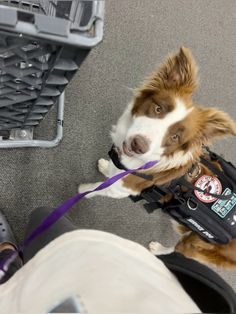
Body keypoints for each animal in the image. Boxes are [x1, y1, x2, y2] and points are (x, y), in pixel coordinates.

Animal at [79, 47, 236, 268]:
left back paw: (157, 249)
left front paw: (83, 190)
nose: (138, 145)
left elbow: (95, 189)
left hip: (197, 245)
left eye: (175, 137)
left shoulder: (119, 191)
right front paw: (105, 166)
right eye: (158, 108)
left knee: (178, 250)